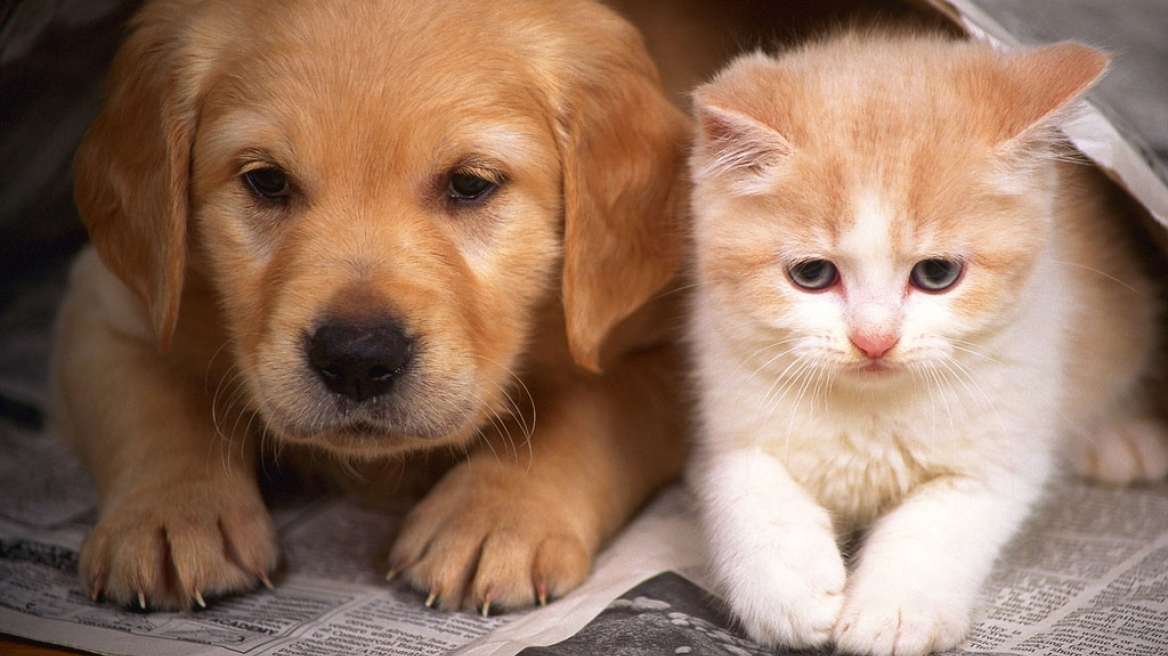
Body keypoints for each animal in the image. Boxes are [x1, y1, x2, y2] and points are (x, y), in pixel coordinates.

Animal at [54, 0, 686, 611]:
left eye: (470, 184)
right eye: (267, 181)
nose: (356, 360)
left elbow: (589, 409)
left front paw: (497, 517)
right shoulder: (105, 306)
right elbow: (155, 403)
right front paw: (168, 517)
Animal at [682, 31, 1168, 653]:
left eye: (937, 274)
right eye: (812, 274)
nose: (874, 339)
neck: (871, 410)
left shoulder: (1000, 454)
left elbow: (937, 523)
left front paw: (893, 610)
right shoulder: (721, 395)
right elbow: (741, 477)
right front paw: (784, 583)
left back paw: (1122, 438)